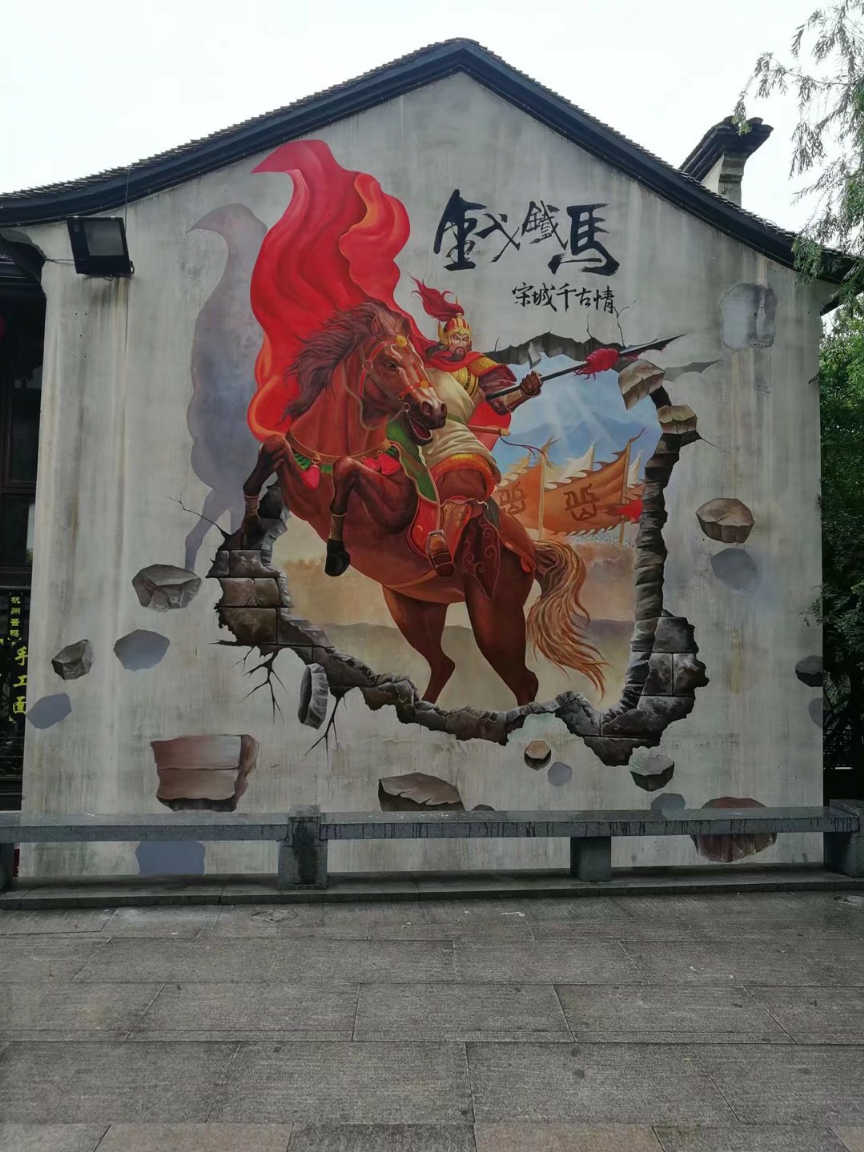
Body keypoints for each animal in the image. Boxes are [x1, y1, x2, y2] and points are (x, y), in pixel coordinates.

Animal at [240, 300, 604, 706]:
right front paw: (251, 521)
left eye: (416, 360)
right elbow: (274, 447)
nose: (434, 410)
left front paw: (336, 552)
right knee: (444, 664)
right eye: (389, 363)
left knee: (523, 680)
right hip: (414, 606)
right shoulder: (302, 487)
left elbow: (349, 470)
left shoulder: (390, 512)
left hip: (495, 614)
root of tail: (529, 546)